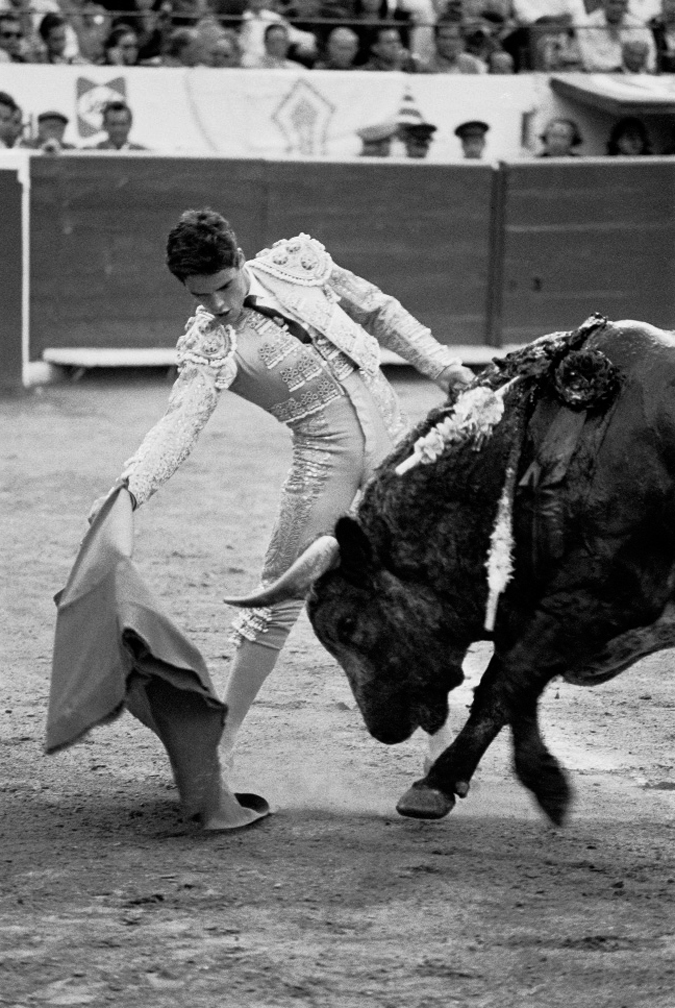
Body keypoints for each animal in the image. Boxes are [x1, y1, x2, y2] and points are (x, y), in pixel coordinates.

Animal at [224, 316, 675, 826]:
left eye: (347, 623)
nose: (382, 729)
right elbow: (509, 686)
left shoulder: (602, 594)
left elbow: (507, 679)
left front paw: (446, 783)